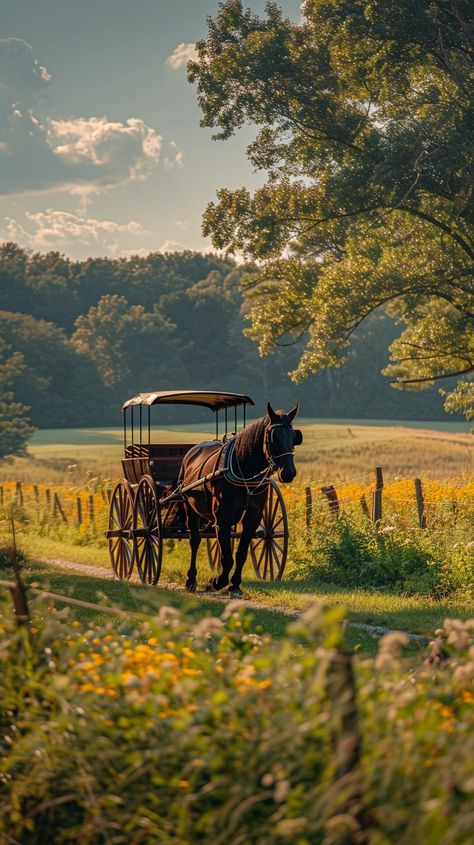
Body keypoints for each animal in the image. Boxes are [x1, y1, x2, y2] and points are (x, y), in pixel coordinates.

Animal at [178, 402, 304, 592]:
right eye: (273, 438)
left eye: (293, 437)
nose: (288, 473)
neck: (245, 471)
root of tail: (193, 451)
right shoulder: (222, 516)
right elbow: (227, 556)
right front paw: (219, 581)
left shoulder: (252, 517)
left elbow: (241, 552)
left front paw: (235, 583)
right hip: (190, 508)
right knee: (195, 540)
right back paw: (191, 579)